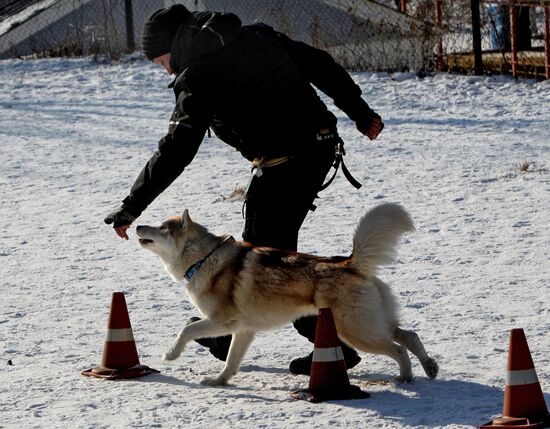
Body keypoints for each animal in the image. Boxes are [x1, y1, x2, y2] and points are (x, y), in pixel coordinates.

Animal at [137, 202, 440, 386]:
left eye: (162, 228)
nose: (138, 225)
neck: (203, 258)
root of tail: (351, 263)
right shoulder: (244, 330)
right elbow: (232, 361)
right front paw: (219, 381)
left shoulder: (222, 322)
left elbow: (186, 330)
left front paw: (171, 354)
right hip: (371, 324)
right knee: (409, 335)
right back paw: (429, 367)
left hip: (355, 331)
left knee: (399, 349)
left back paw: (406, 378)